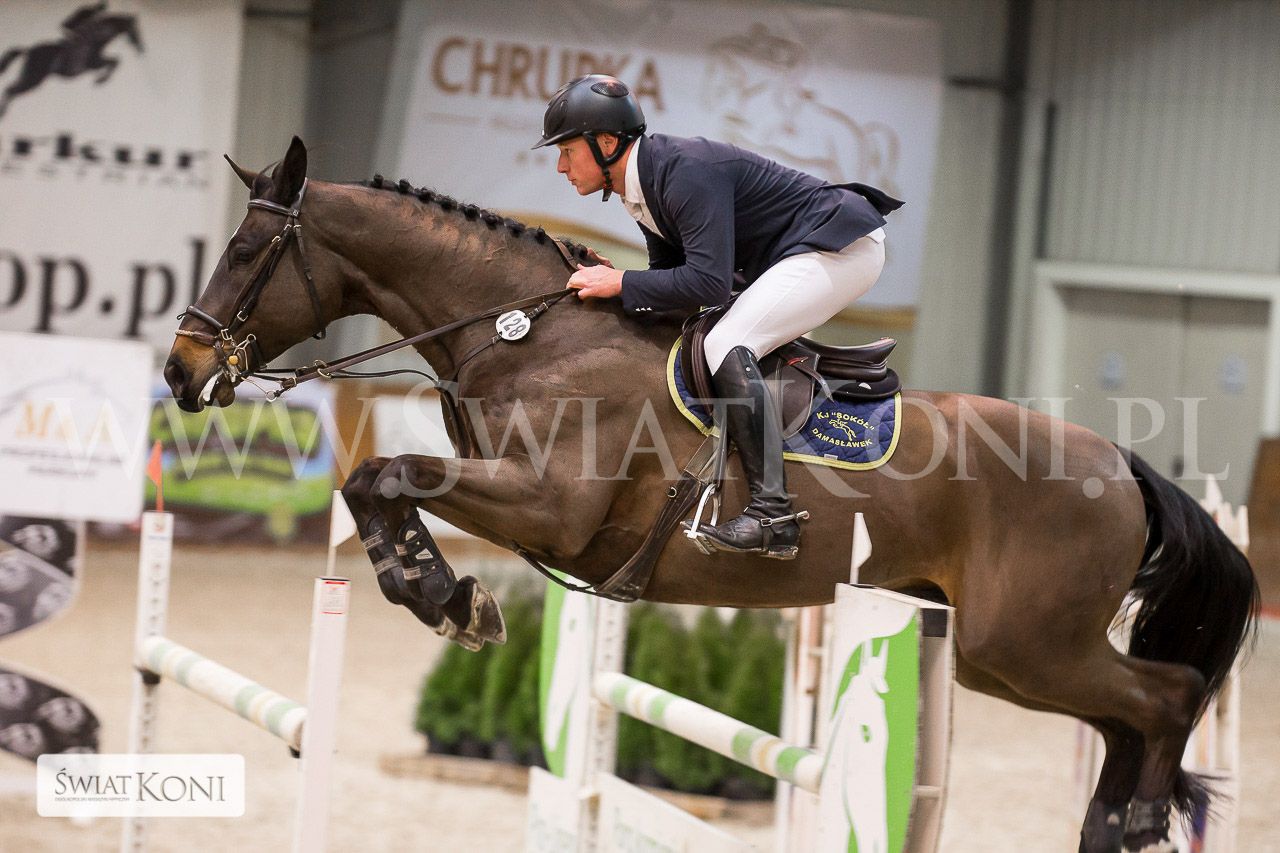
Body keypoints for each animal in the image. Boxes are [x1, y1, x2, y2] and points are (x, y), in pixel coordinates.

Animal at [0, 4, 143, 121]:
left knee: (11, 88)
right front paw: (100, 80)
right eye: (136, 32)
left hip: (30, 77)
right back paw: (3, 113)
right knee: (11, 90)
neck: (95, 36)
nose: (142, 49)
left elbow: (115, 60)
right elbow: (115, 62)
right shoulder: (93, 63)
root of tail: (27, 51)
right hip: (33, 78)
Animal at [163, 137, 1257, 853]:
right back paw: (1113, 827)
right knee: (1126, 717)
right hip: (1012, 652)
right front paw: (439, 592)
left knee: (1163, 696)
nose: (180, 372)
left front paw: (447, 597)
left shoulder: (546, 506)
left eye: (248, 253)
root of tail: (1121, 466)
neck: (527, 331)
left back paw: (1138, 818)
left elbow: (381, 473)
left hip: (1018, 643)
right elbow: (374, 483)